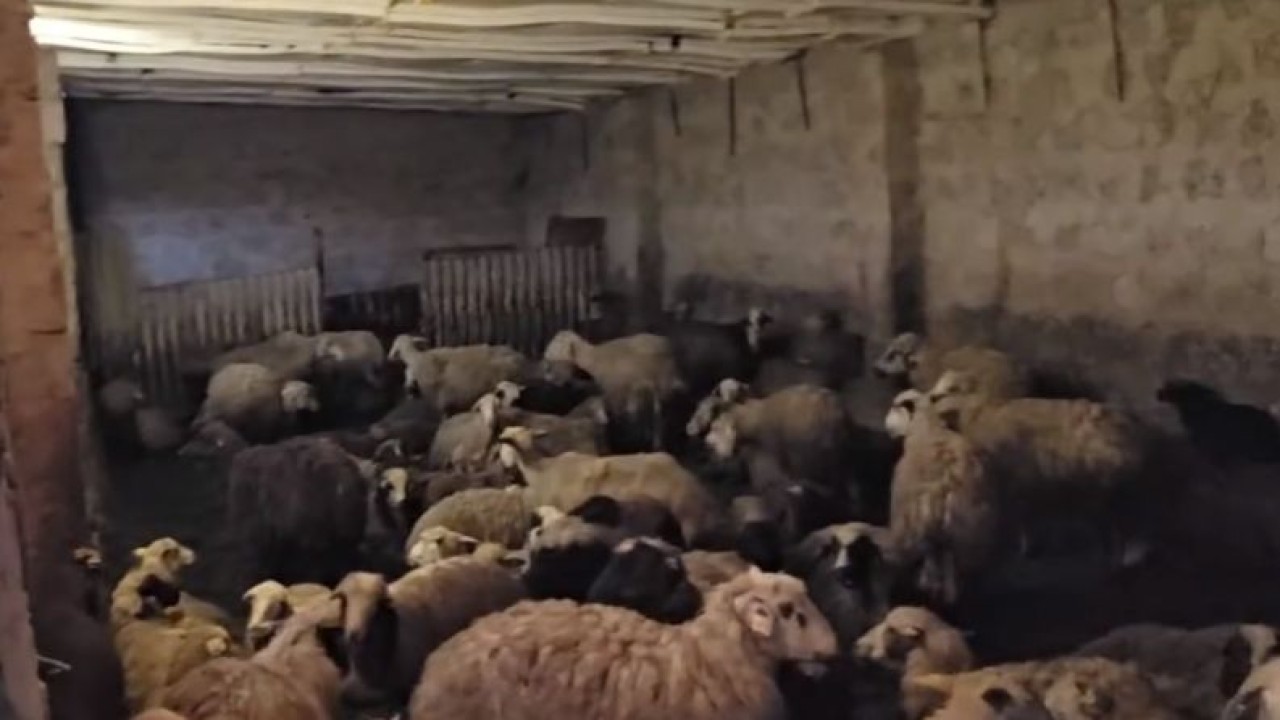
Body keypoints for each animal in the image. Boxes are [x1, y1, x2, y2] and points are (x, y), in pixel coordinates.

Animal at [543, 329, 684, 451]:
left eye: (557, 349)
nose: (549, 377)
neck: (593, 359)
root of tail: (666, 343)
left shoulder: (614, 391)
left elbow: (614, 415)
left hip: (663, 384)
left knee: (661, 415)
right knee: (657, 413)